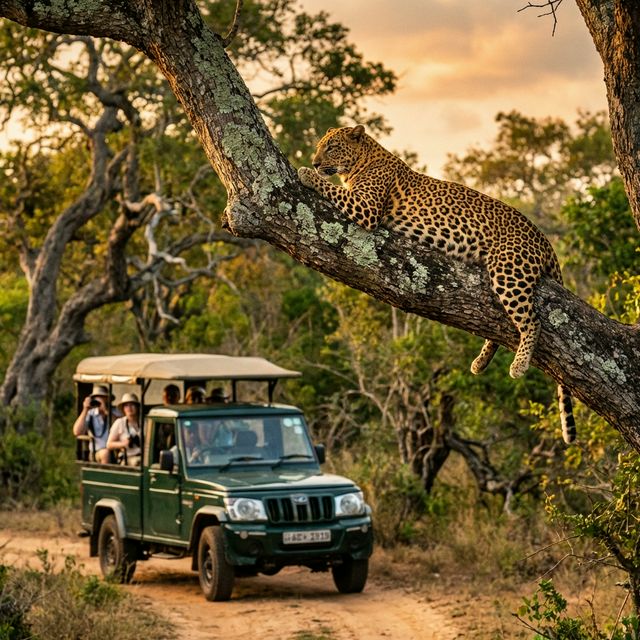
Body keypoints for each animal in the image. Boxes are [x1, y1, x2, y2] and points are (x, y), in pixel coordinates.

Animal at [298, 124, 576, 443]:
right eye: (320, 146)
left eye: (331, 147)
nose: (315, 162)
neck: (361, 162)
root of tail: (543, 239)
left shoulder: (365, 208)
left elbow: (332, 189)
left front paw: (305, 174)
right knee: (501, 325)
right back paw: (480, 363)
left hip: (509, 271)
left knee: (531, 321)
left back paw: (518, 366)